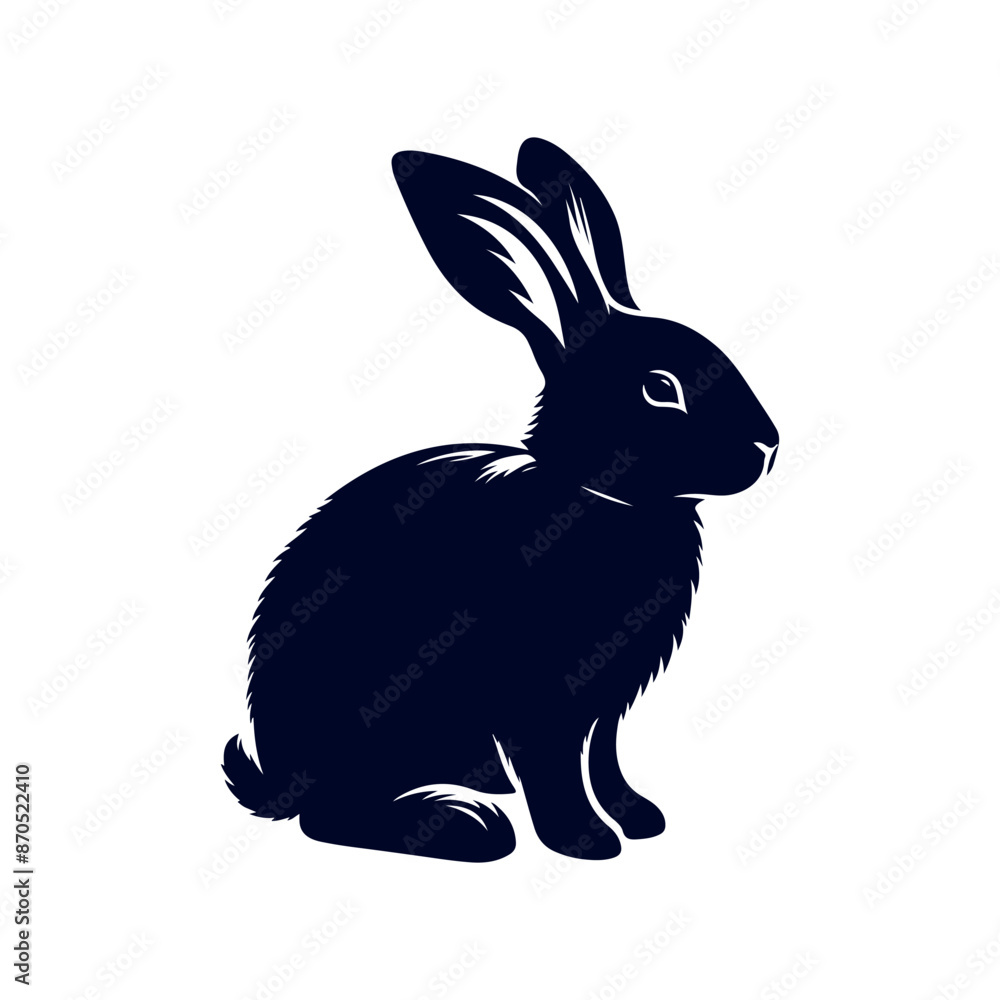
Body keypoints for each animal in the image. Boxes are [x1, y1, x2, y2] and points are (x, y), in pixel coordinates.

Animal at [223, 137, 779, 862]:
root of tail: (279, 780)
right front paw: (585, 842)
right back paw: (467, 826)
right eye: (661, 387)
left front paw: (639, 817)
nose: (768, 447)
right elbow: (556, 768)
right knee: (331, 819)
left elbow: (604, 759)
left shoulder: (605, 704)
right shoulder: (538, 698)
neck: (601, 493)